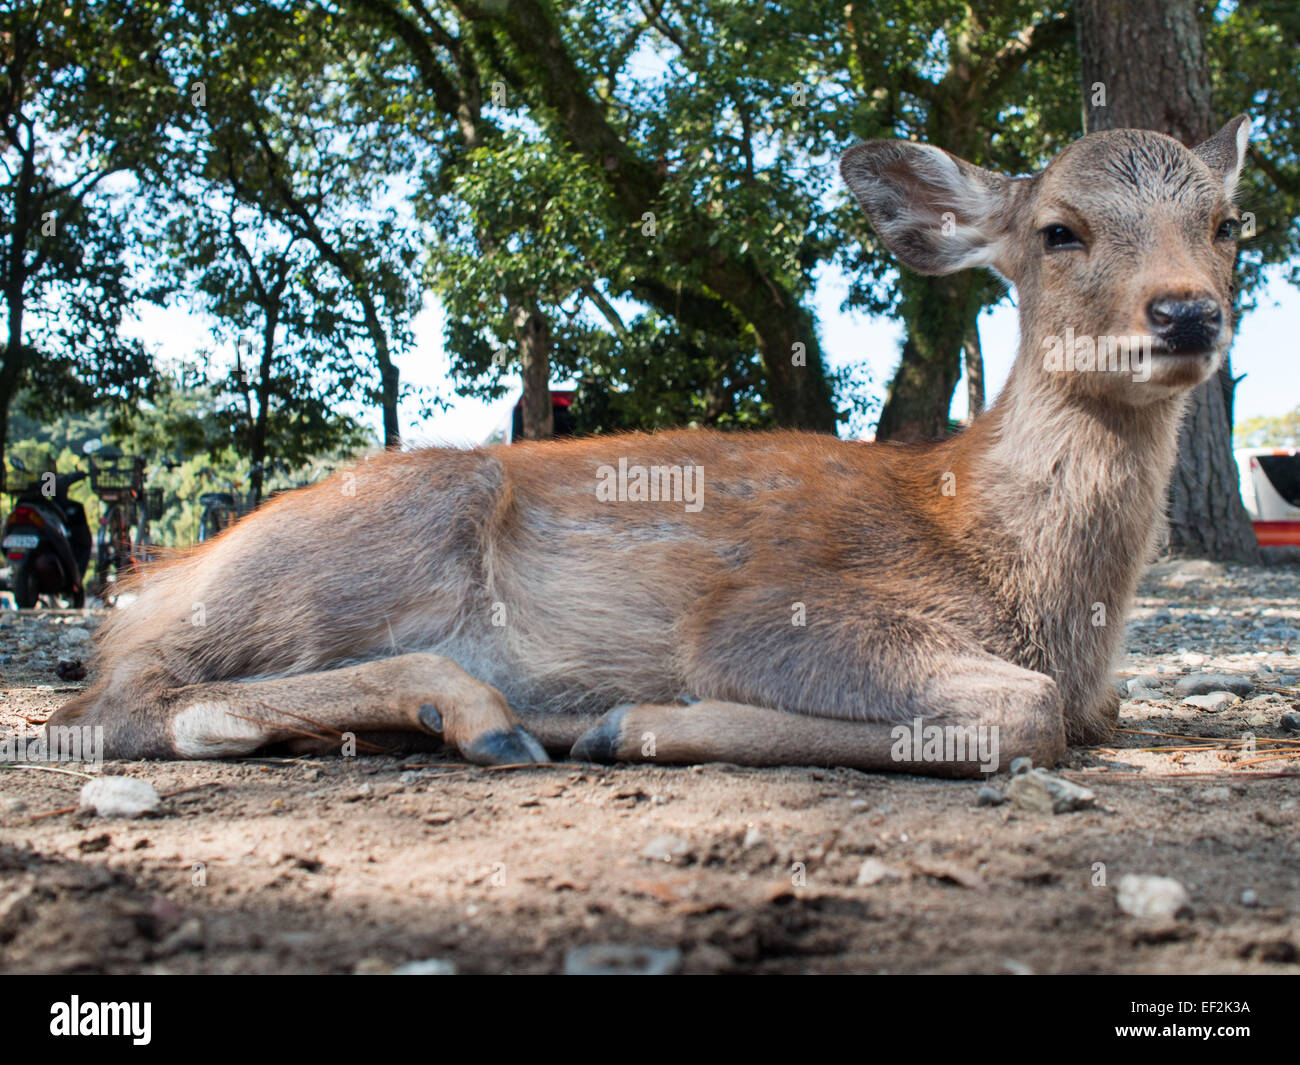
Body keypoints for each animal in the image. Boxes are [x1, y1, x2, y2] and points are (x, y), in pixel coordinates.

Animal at [45, 116, 1253, 780]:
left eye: (1228, 222)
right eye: (1059, 230)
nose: (1187, 314)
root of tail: (162, 576)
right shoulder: (780, 612)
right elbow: (1024, 710)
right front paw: (637, 723)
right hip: (366, 539)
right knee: (116, 702)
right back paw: (489, 717)